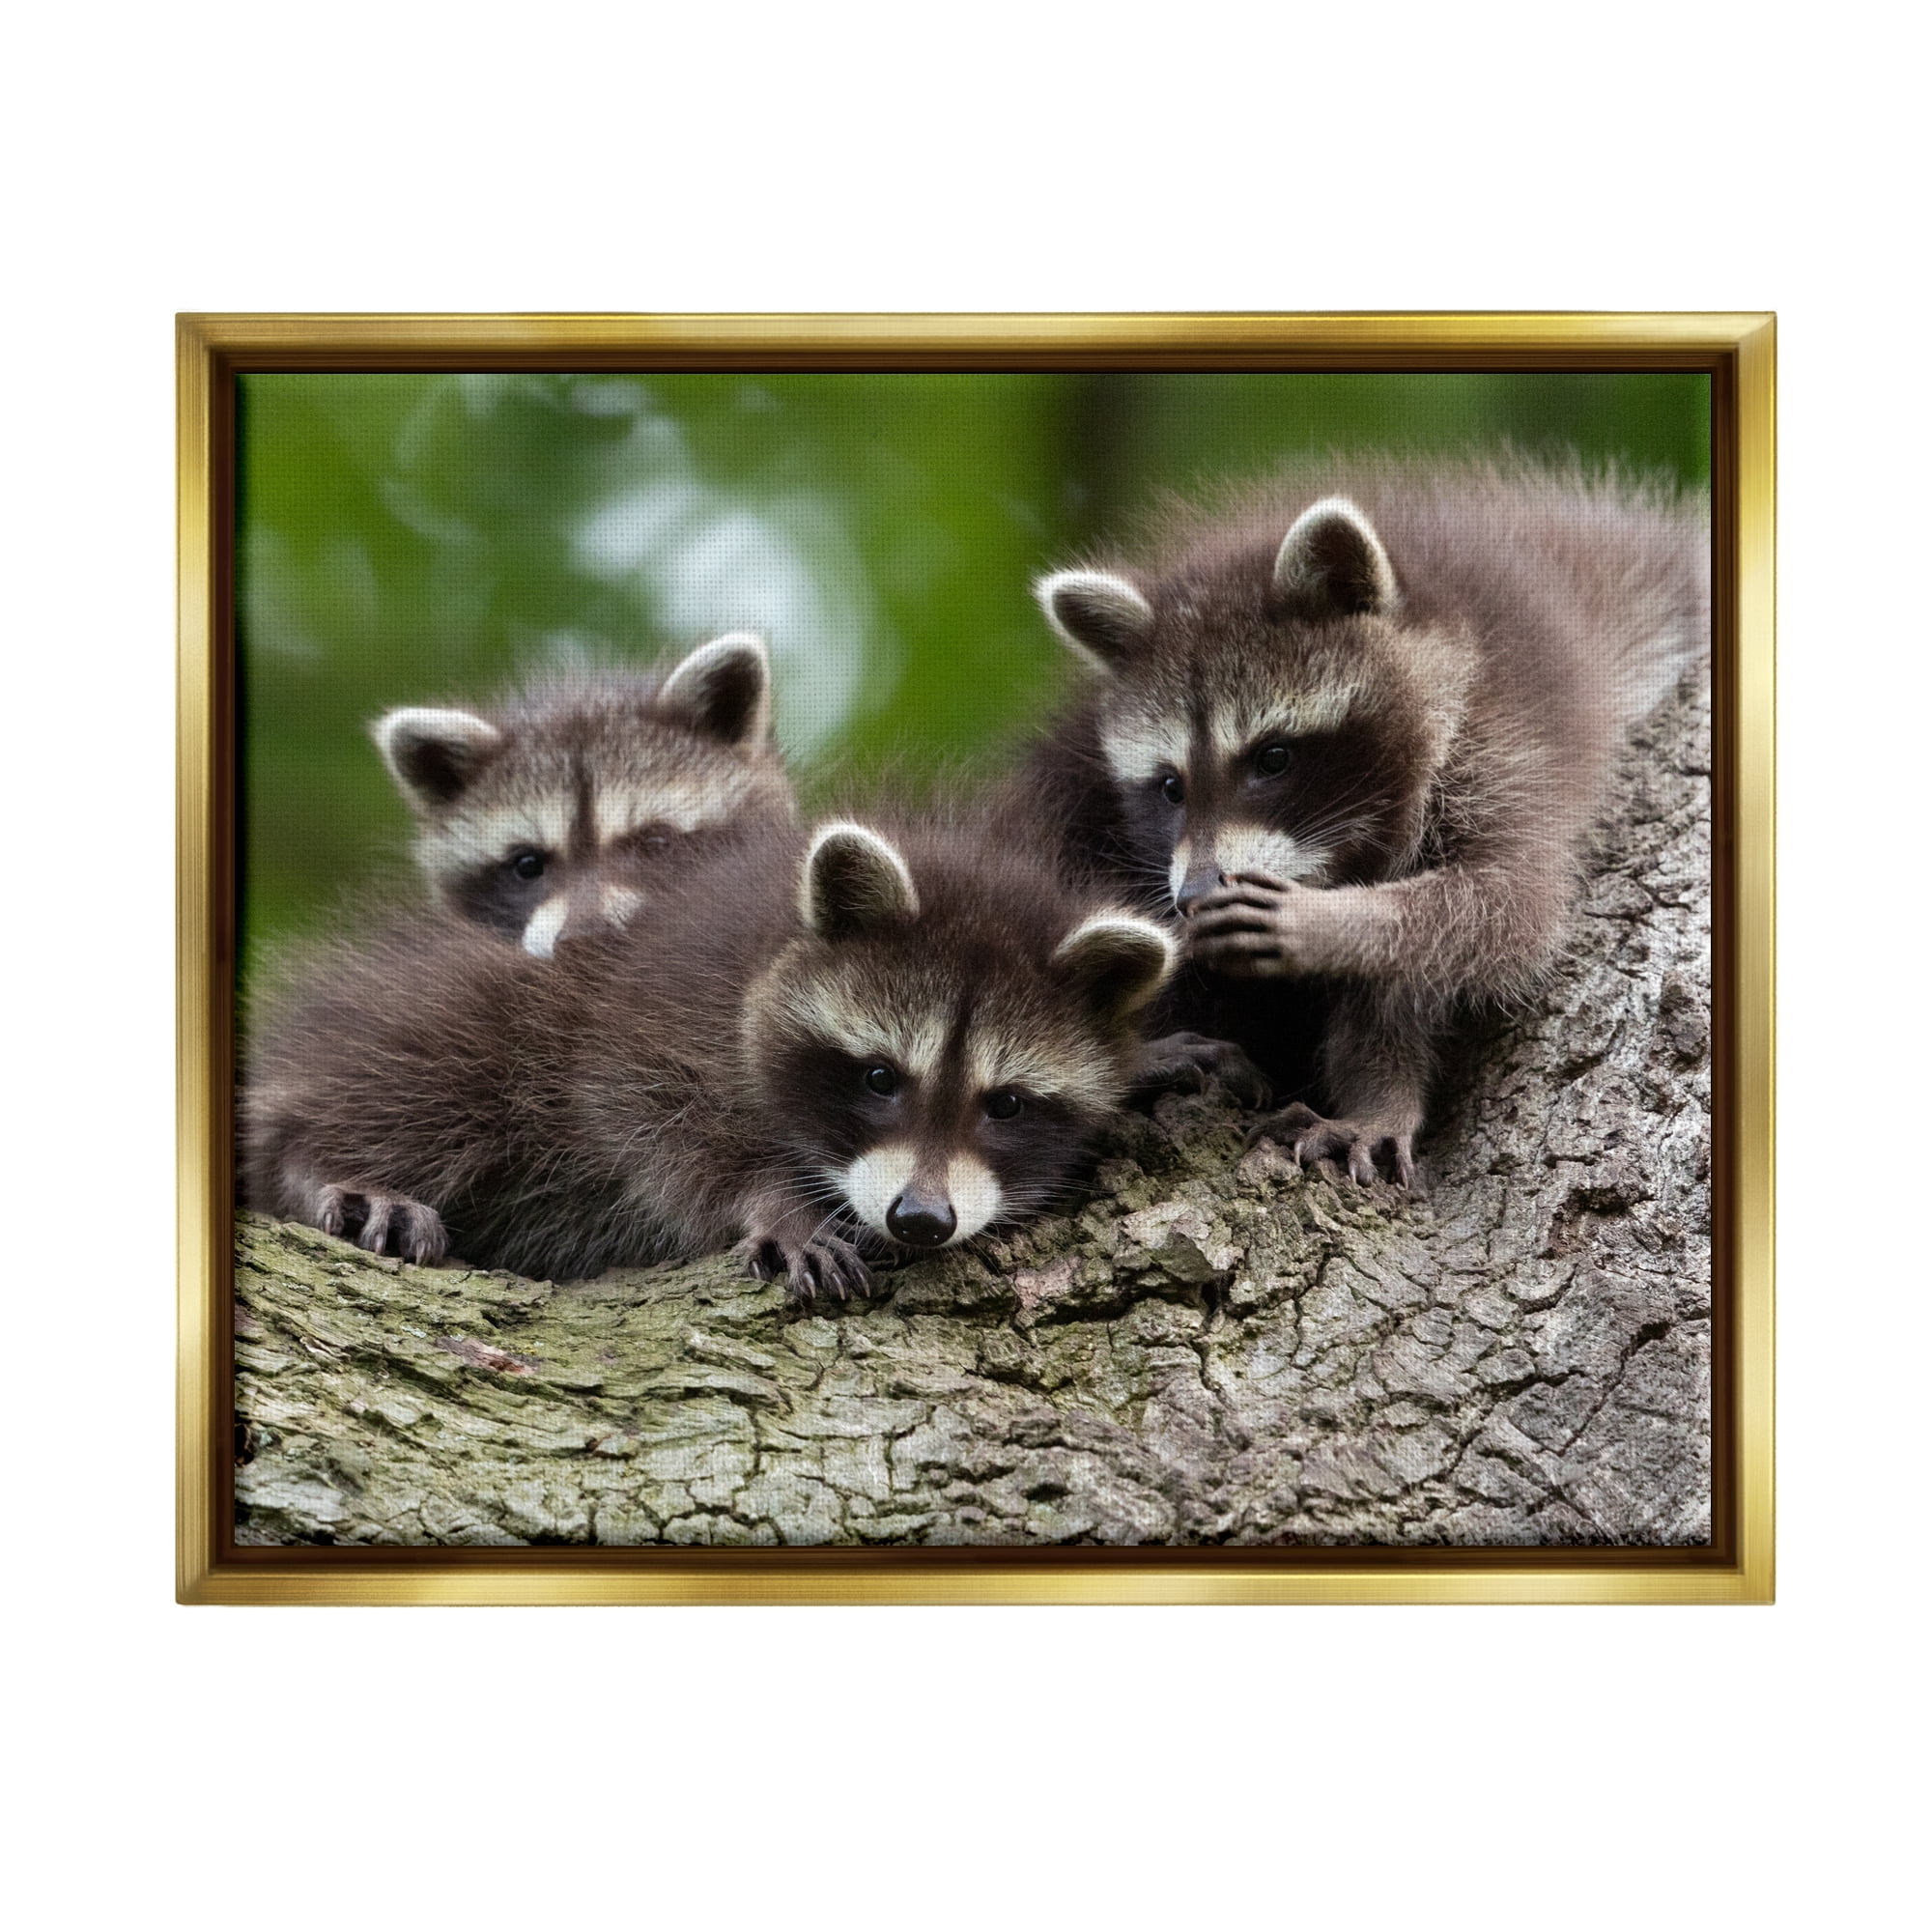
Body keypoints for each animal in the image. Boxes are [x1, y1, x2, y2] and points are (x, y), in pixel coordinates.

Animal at [241, 814, 1177, 1303]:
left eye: (1006, 1104)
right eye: (880, 1077)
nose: (919, 1218)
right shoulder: (659, 1009)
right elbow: (655, 1121)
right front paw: (774, 1202)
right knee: (448, 1060)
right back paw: (317, 1160)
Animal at [1025, 454, 1708, 1186]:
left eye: (1273, 757)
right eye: (1170, 787)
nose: (1196, 894)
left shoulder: (1508, 742)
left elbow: (1505, 909)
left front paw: (1336, 922)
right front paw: (1380, 1093)